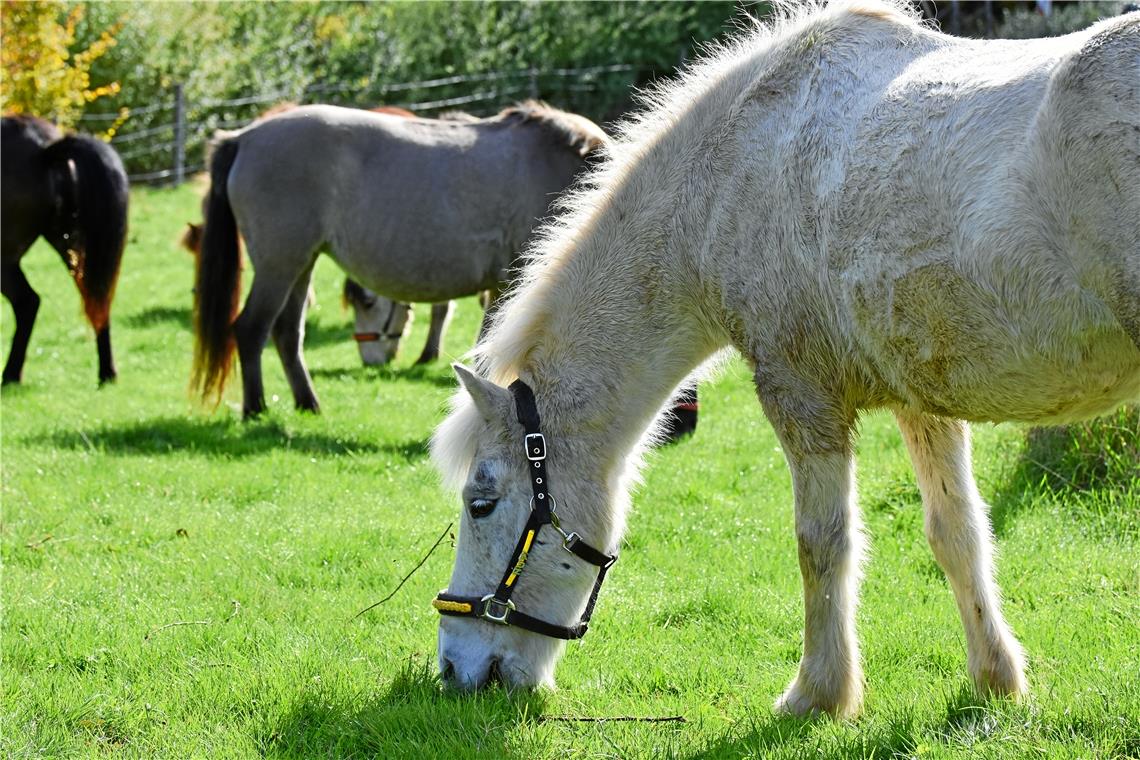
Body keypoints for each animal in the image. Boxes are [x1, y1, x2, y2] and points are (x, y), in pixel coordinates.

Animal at [1, 114, 128, 387]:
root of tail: (44, 150)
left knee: (27, 302)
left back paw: (11, 374)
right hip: (72, 244)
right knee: (96, 298)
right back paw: (106, 372)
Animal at [191, 100, 611, 417]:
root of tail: (244, 137)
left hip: (301, 265)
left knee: (286, 333)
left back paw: (308, 403)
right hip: (279, 266)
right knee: (251, 329)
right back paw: (256, 408)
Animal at [428, 0, 1140, 724]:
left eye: (481, 503)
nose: (454, 669)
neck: (728, 174)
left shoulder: (800, 396)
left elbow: (821, 544)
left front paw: (818, 693)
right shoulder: (922, 403)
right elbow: (958, 533)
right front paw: (995, 677)